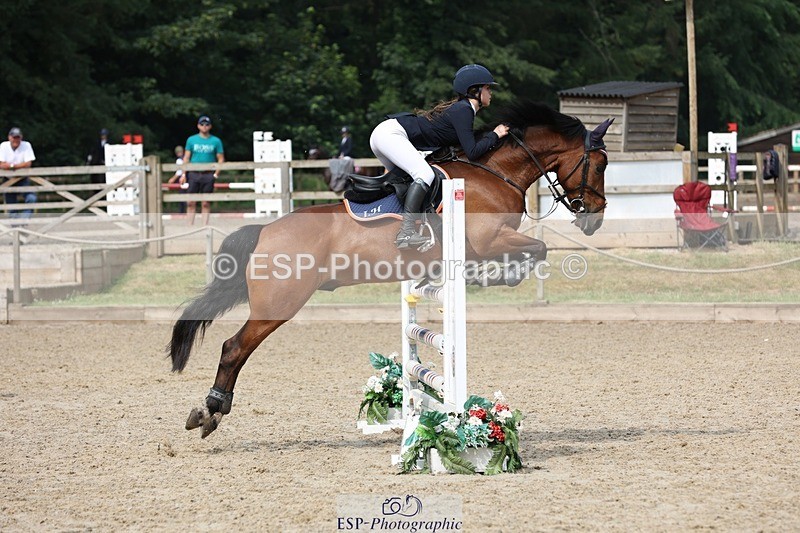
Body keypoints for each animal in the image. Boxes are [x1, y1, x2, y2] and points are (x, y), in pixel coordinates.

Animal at [169, 100, 612, 438]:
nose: (594, 217)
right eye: (599, 164)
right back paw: (211, 410)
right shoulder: (489, 240)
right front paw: (502, 276)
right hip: (279, 304)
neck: (494, 173)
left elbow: (533, 250)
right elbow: (538, 248)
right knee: (234, 348)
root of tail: (265, 231)